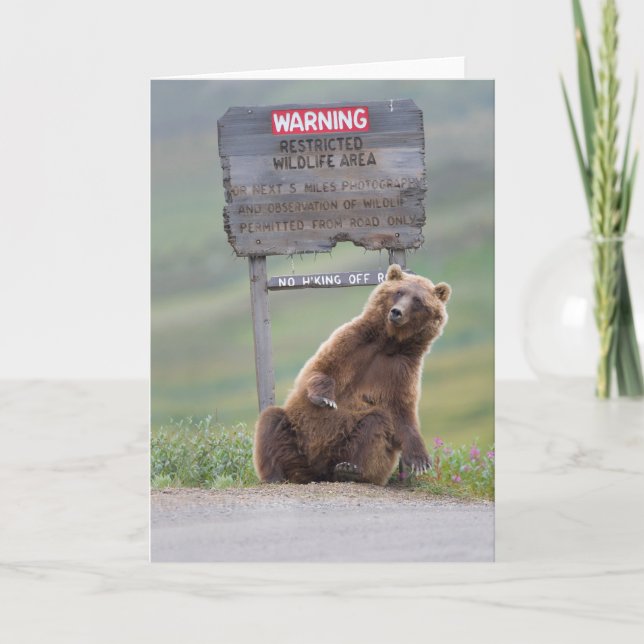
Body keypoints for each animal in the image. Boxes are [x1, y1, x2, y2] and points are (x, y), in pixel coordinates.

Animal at [253, 264, 451, 486]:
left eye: (418, 300)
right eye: (398, 292)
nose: (396, 312)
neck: (388, 342)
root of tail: (317, 474)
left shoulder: (401, 368)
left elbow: (402, 410)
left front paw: (420, 460)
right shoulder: (353, 341)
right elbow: (321, 368)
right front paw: (326, 398)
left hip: (344, 445)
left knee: (375, 423)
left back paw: (349, 470)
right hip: (297, 434)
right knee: (271, 421)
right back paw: (275, 475)